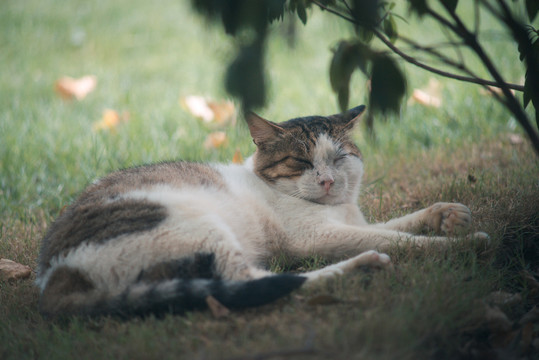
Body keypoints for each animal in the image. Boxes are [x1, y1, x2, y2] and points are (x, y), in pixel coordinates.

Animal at [34, 106, 490, 318]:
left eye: (340, 157)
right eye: (302, 162)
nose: (327, 181)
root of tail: (53, 276)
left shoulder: (352, 220)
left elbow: (400, 222)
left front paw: (448, 215)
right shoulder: (314, 237)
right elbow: (399, 239)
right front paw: (459, 243)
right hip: (199, 229)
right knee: (262, 282)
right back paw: (362, 264)